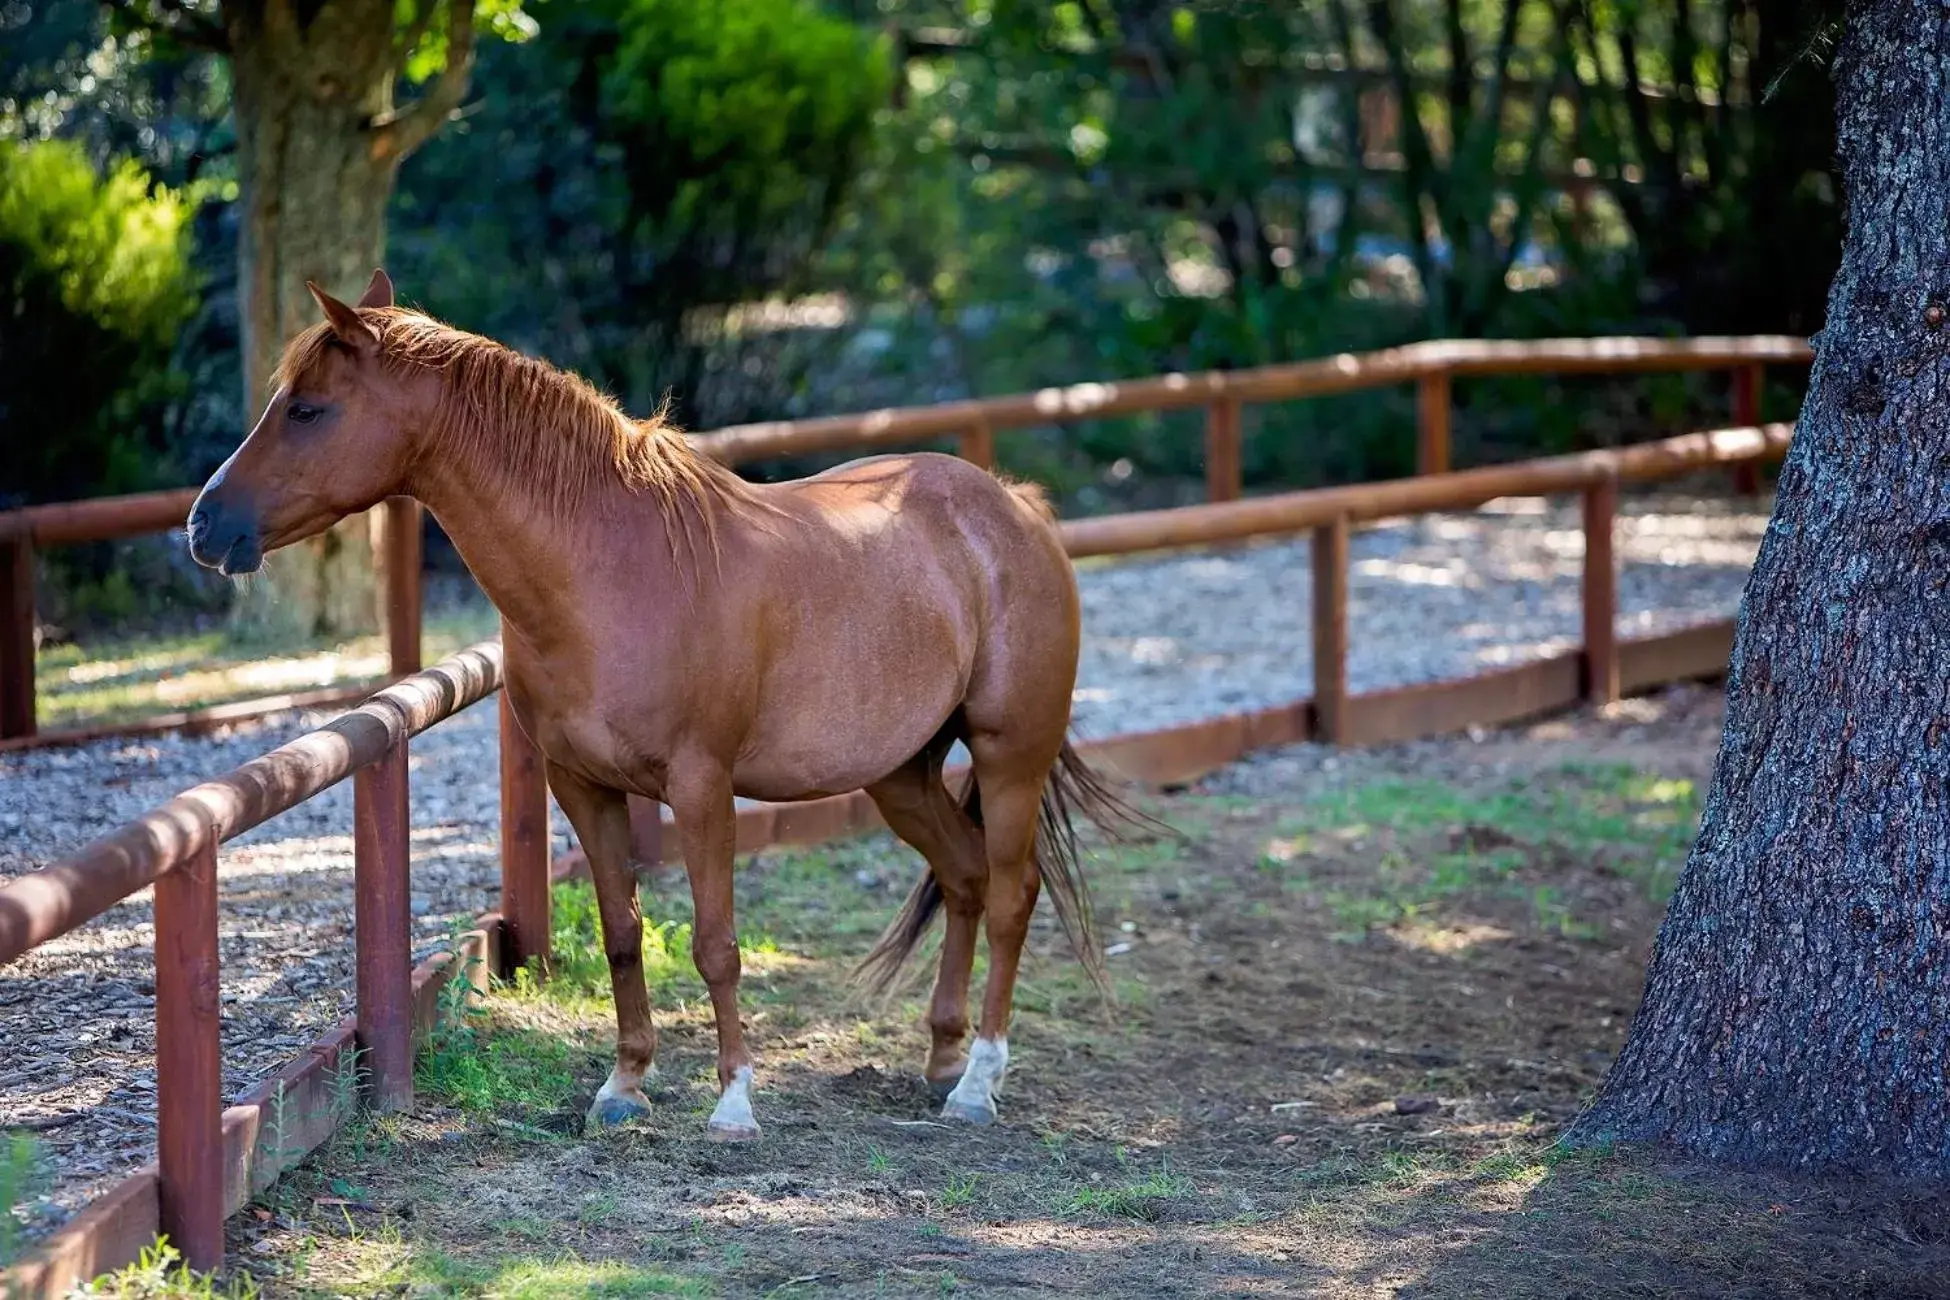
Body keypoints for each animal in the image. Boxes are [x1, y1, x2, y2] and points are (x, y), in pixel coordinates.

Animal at [186, 272, 1138, 1138]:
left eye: (308, 410)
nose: (204, 525)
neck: (610, 569)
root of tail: (1013, 507)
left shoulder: (702, 788)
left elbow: (716, 946)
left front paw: (734, 1102)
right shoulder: (582, 786)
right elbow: (623, 933)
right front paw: (624, 1086)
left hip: (1009, 759)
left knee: (1012, 894)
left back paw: (978, 1084)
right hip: (902, 774)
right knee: (967, 879)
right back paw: (942, 1060)